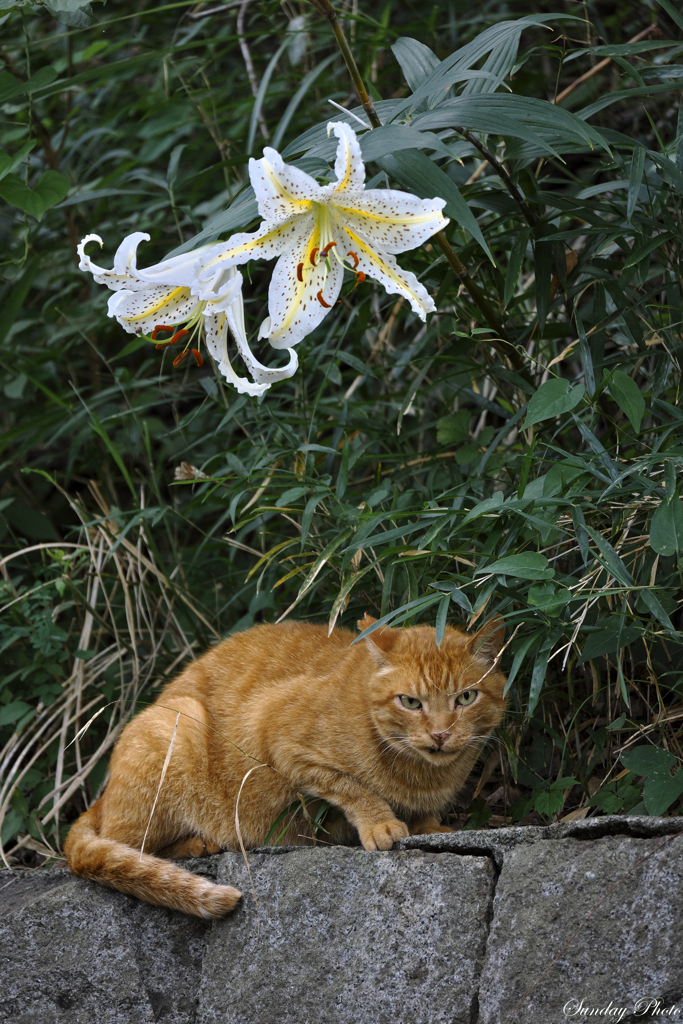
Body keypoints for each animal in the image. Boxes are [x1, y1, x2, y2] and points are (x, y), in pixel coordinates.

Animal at [63, 610, 505, 917]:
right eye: (411, 702)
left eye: (466, 698)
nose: (441, 734)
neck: (424, 775)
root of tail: (100, 799)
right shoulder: (276, 732)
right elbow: (351, 786)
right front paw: (380, 822)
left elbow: (420, 813)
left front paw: (429, 824)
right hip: (177, 724)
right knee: (125, 845)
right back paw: (199, 842)